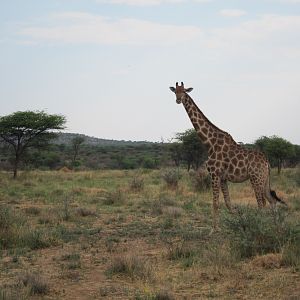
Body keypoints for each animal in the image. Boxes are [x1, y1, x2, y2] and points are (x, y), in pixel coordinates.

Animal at [169, 81, 286, 227]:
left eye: (184, 91)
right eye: (175, 91)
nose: (178, 100)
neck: (209, 143)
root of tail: (267, 162)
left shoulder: (214, 174)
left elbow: (215, 203)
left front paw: (214, 229)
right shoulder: (223, 177)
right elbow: (228, 203)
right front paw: (237, 220)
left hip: (256, 178)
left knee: (262, 204)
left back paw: (261, 226)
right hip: (264, 179)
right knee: (272, 200)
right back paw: (276, 228)